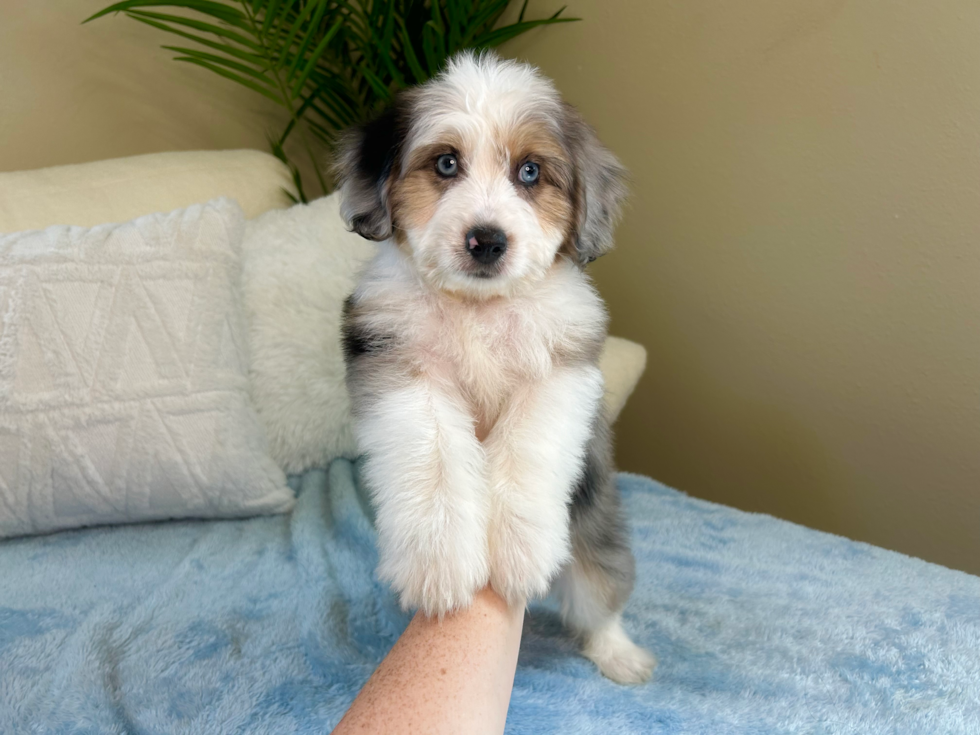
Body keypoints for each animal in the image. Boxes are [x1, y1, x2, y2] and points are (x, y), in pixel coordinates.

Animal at [334, 51, 652, 684]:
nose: (486, 240)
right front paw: (438, 561)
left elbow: (528, 449)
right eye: (446, 163)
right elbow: (431, 454)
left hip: (594, 534)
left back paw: (619, 654)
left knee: (599, 601)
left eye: (529, 172)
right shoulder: (400, 363)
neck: (478, 308)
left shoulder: (560, 373)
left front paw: (518, 550)